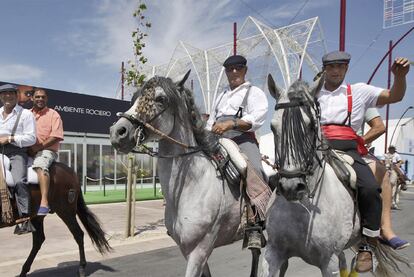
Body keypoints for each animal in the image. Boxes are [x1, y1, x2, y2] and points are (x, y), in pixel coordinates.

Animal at [108, 71, 260, 276]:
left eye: (160, 99)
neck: (191, 186)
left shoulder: (200, 249)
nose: (118, 132)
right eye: (134, 98)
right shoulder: (188, 250)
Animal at [262, 74, 408, 274]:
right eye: (273, 127)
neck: (302, 207)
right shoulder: (273, 254)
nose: (291, 187)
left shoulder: (328, 262)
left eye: (311, 126)